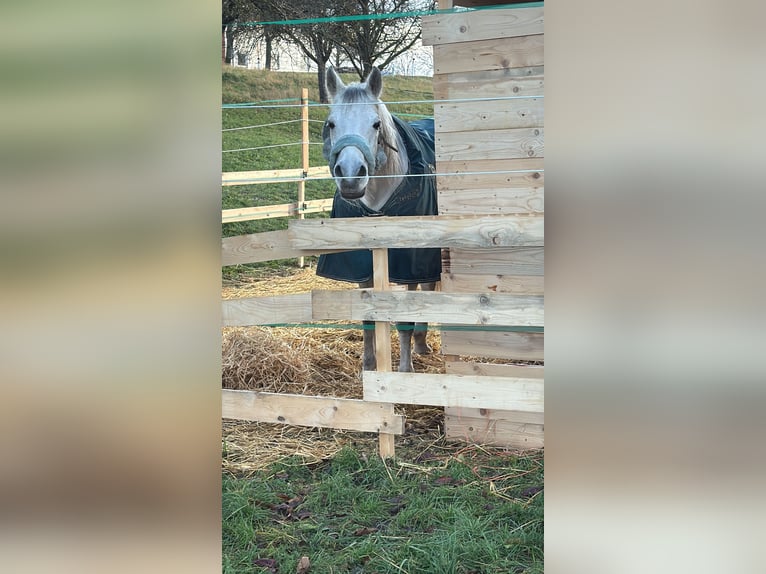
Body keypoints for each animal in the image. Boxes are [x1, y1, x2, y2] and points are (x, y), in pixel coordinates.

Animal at [316, 66, 442, 372]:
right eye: (331, 124)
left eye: (375, 124)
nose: (351, 176)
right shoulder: (363, 266)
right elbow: (368, 317)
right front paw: (369, 364)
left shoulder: (407, 265)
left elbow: (405, 319)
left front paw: (405, 370)